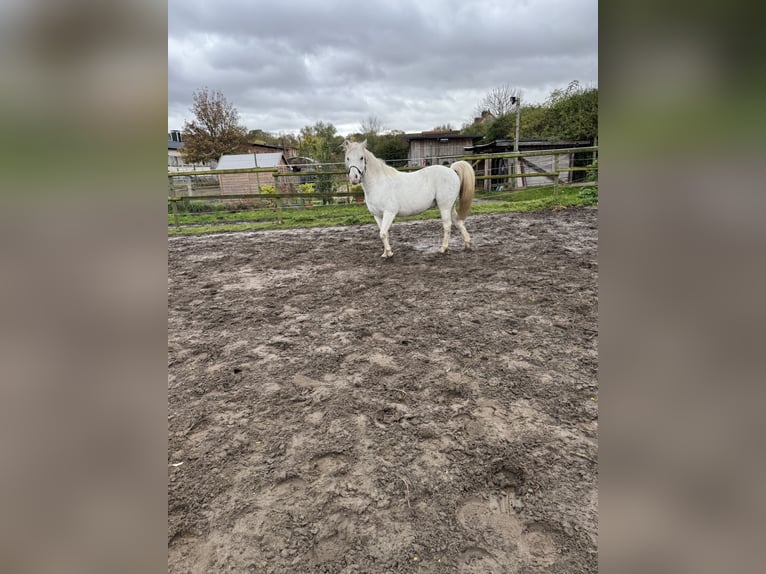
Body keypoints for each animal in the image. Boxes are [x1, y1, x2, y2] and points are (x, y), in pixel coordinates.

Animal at [343, 139, 475, 258]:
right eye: (348, 158)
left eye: (361, 158)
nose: (354, 178)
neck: (379, 183)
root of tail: (451, 170)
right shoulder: (378, 215)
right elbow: (384, 234)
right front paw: (385, 253)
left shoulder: (389, 213)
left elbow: (383, 233)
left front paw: (389, 253)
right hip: (450, 206)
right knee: (458, 222)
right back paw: (467, 244)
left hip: (444, 206)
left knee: (447, 226)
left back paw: (443, 249)